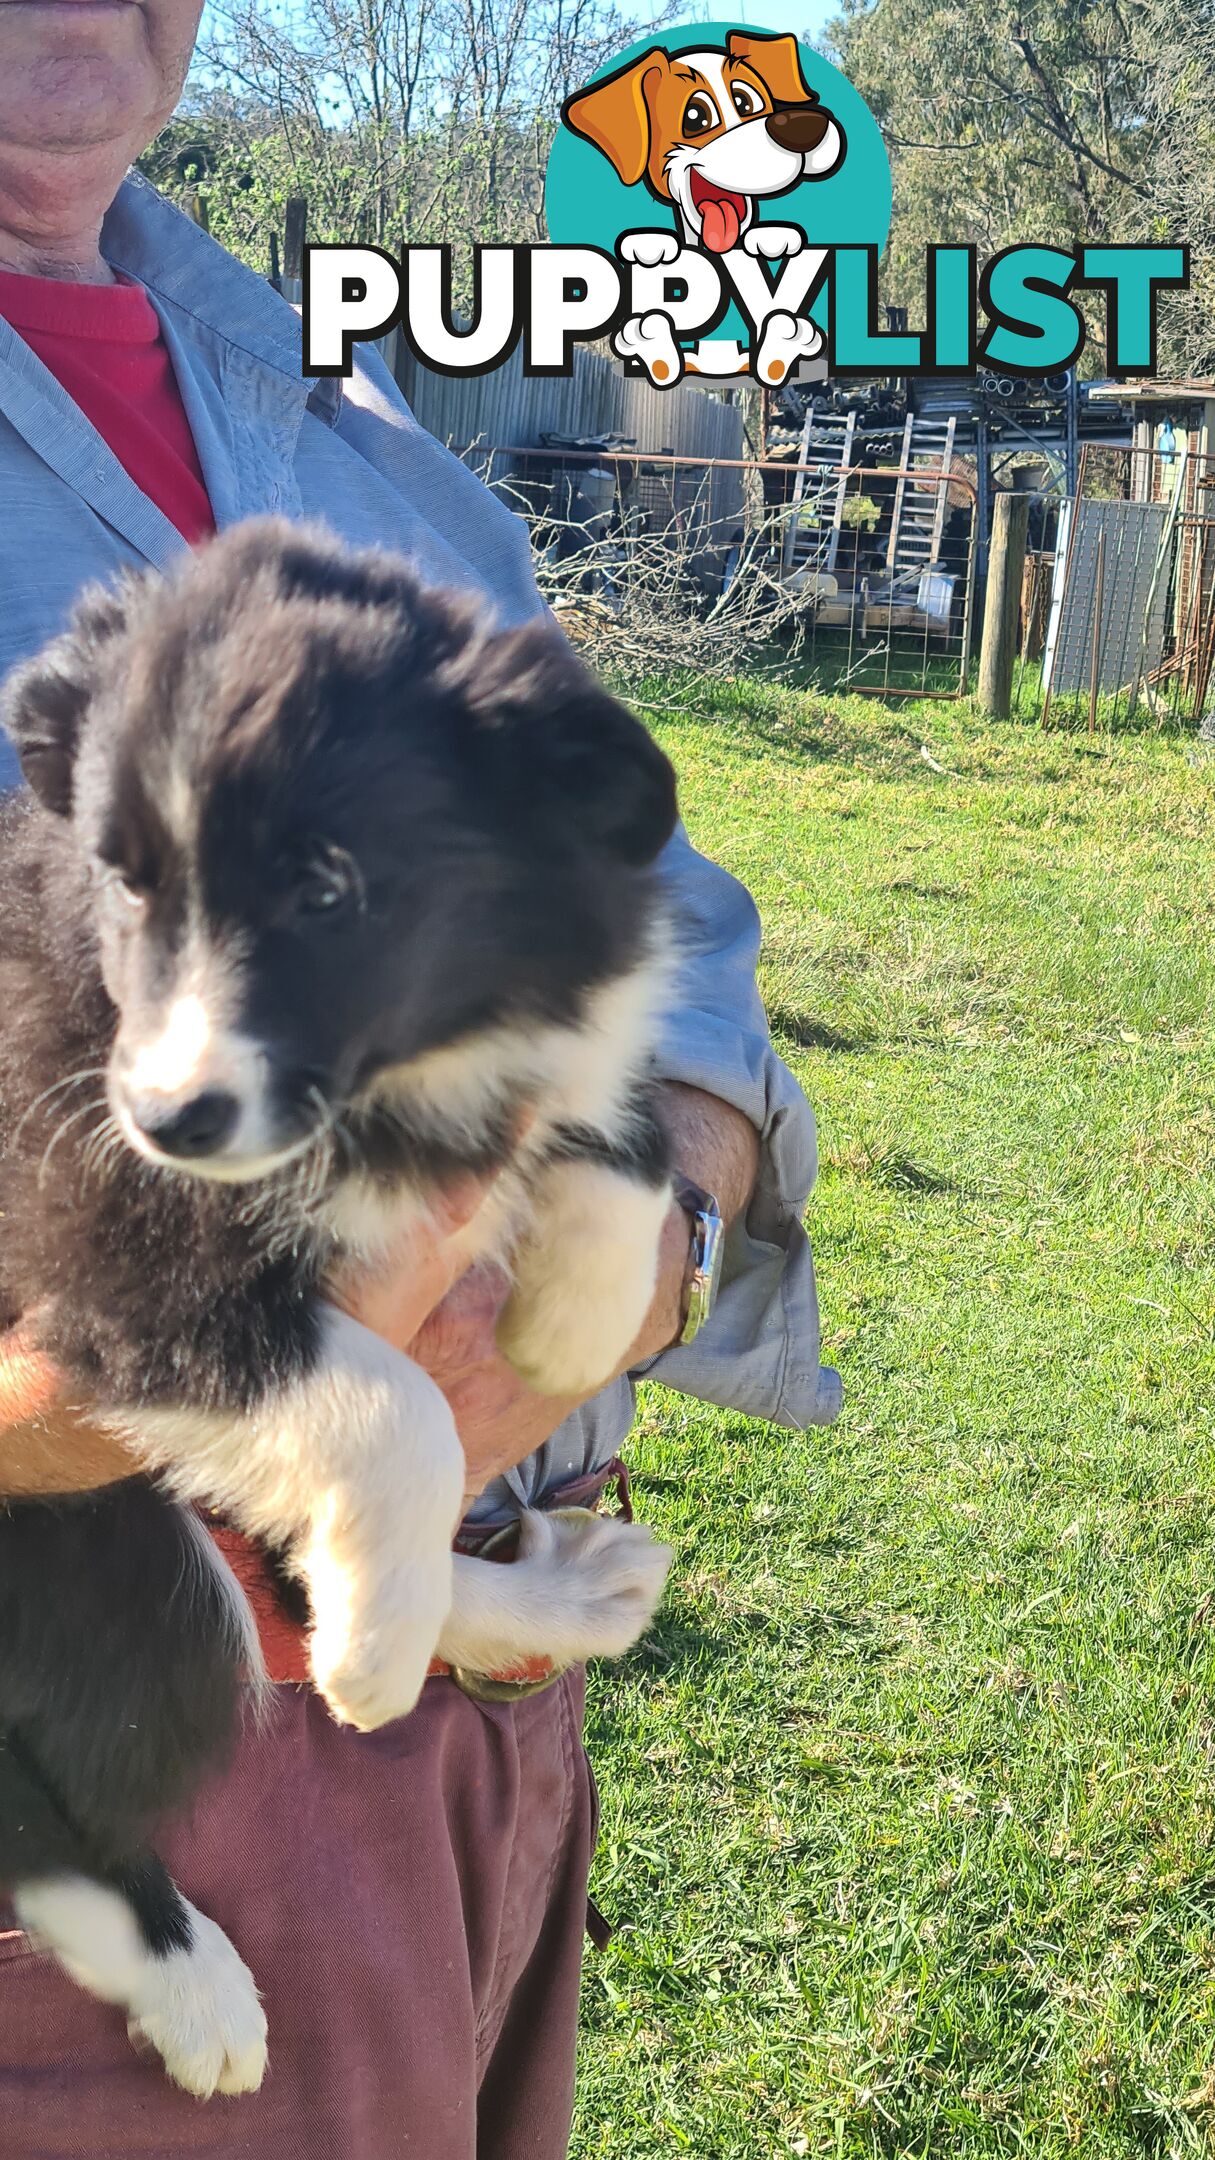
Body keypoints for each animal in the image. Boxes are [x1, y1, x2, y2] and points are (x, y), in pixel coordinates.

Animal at [0, 518, 674, 2090]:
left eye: (327, 888)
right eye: (124, 885)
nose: (170, 1120)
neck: (389, 1087)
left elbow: (615, 1100)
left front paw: (569, 1312)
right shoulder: (102, 1243)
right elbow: (397, 1405)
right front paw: (374, 1655)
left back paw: (536, 1597)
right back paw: (197, 1983)